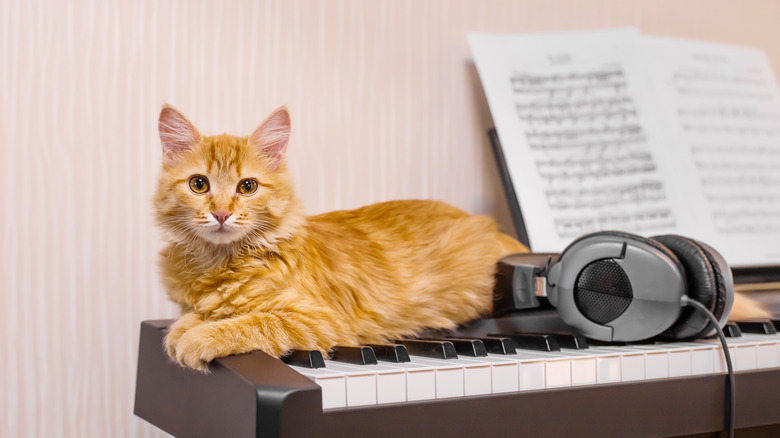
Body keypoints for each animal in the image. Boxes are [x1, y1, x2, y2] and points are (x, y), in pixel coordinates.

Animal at [154, 104, 768, 372]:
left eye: (248, 186)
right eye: (200, 184)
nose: (221, 213)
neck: (218, 261)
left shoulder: (319, 321)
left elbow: (252, 323)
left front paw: (199, 338)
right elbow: (201, 315)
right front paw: (187, 326)